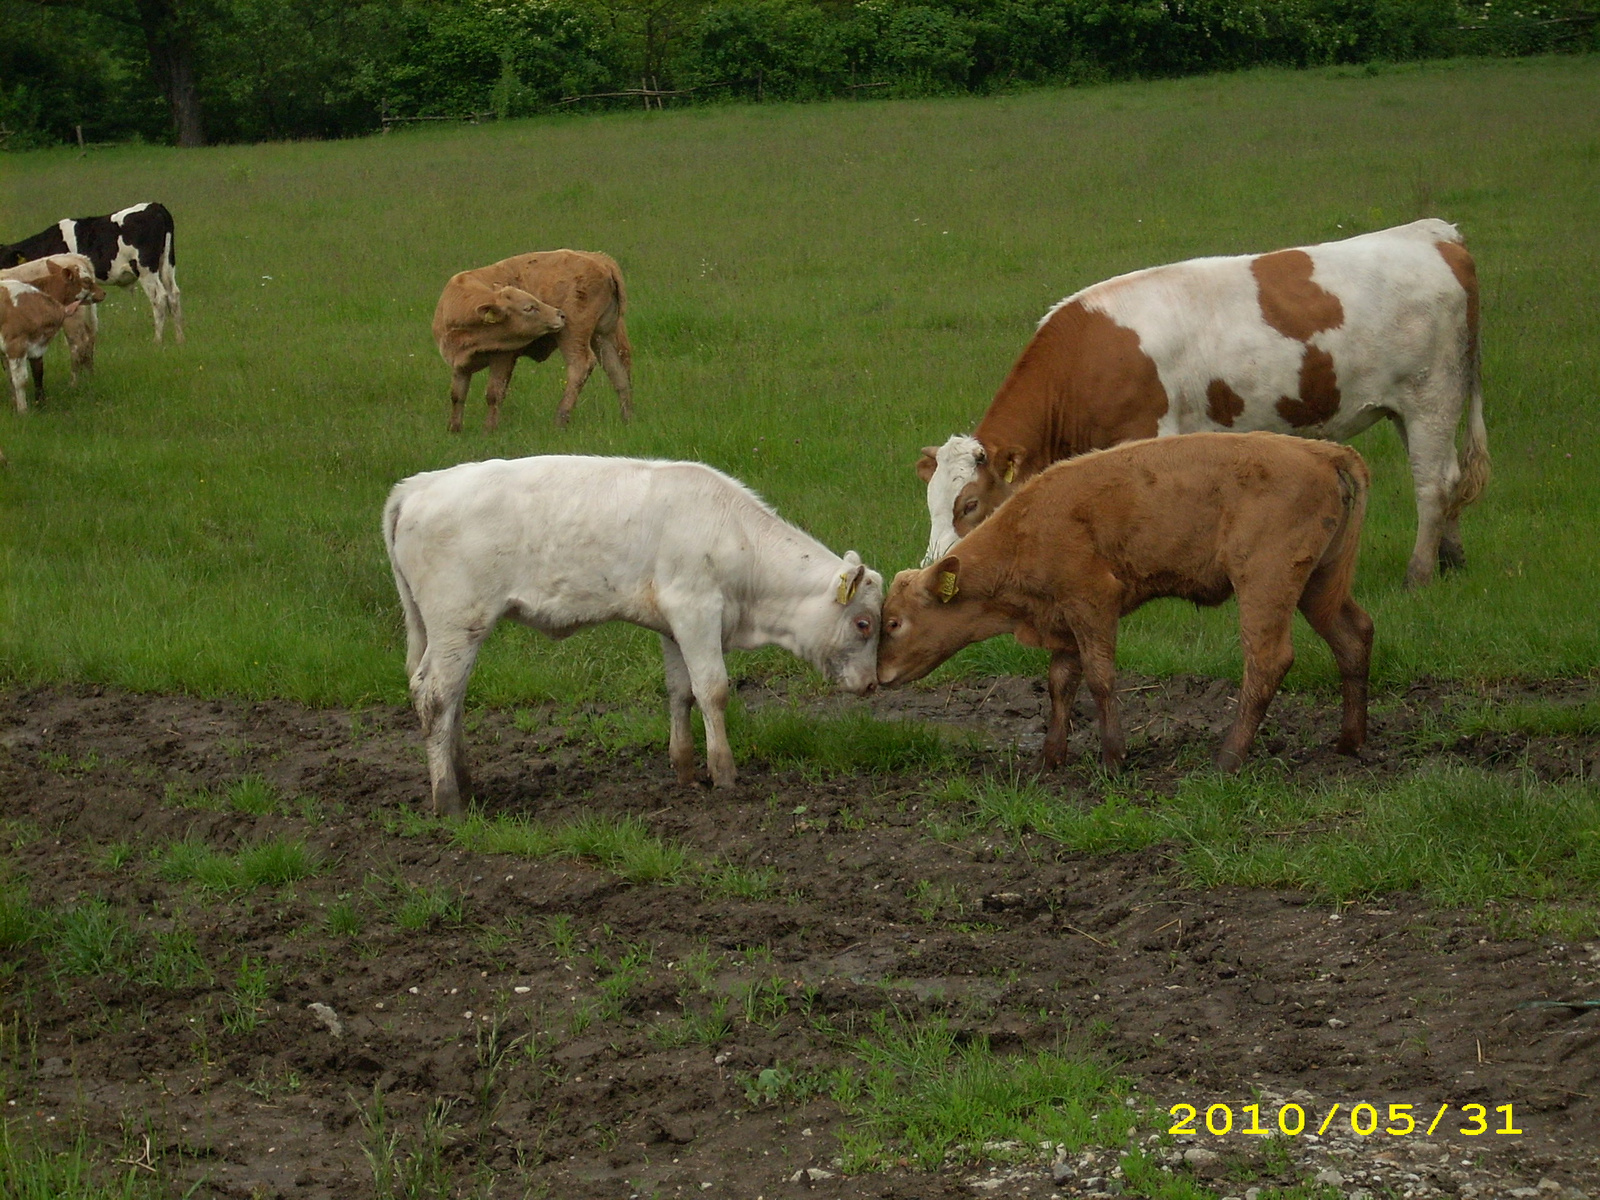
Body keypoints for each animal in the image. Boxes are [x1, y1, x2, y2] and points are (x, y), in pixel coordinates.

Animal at [0, 204, 183, 345]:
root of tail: (155, 206)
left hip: (146, 269)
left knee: (159, 298)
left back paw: (157, 341)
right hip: (167, 264)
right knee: (173, 294)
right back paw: (180, 339)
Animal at [438, 249, 636, 432]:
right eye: (529, 307)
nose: (560, 314)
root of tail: (602, 261)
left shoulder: (503, 357)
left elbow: (494, 393)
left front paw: (489, 429)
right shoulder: (459, 364)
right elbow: (457, 395)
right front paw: (454, 429)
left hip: (573, 335)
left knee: (581, 365)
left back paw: (560, 420)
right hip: (604, 336)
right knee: (618, 371)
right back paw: (626, 420)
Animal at [883, 432, 1369, 771]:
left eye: (894, 623)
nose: (879, 674)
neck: (1027, 528)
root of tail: (1321, 451)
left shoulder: (1093, 601)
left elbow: (1100, 679)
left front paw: (1113, 758)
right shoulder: (1062, 618)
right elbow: (1061, 683)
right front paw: (1049, 759)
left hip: (1264, 584)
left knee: (1267, 660)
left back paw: (1227, 759)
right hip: (1319, 584)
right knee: (1353, 637)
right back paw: (1350, 742)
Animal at [921, 220, 1491, 592]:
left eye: (969, 505)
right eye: (929, 503)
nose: (936, 567)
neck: (1087, 355)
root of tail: (1436, 234)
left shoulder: (1148, 431)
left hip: (1431, 395)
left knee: (1433, 480)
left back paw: (1418, 575)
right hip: (1412, 408)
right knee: (1449, 475)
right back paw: (1453, 559)